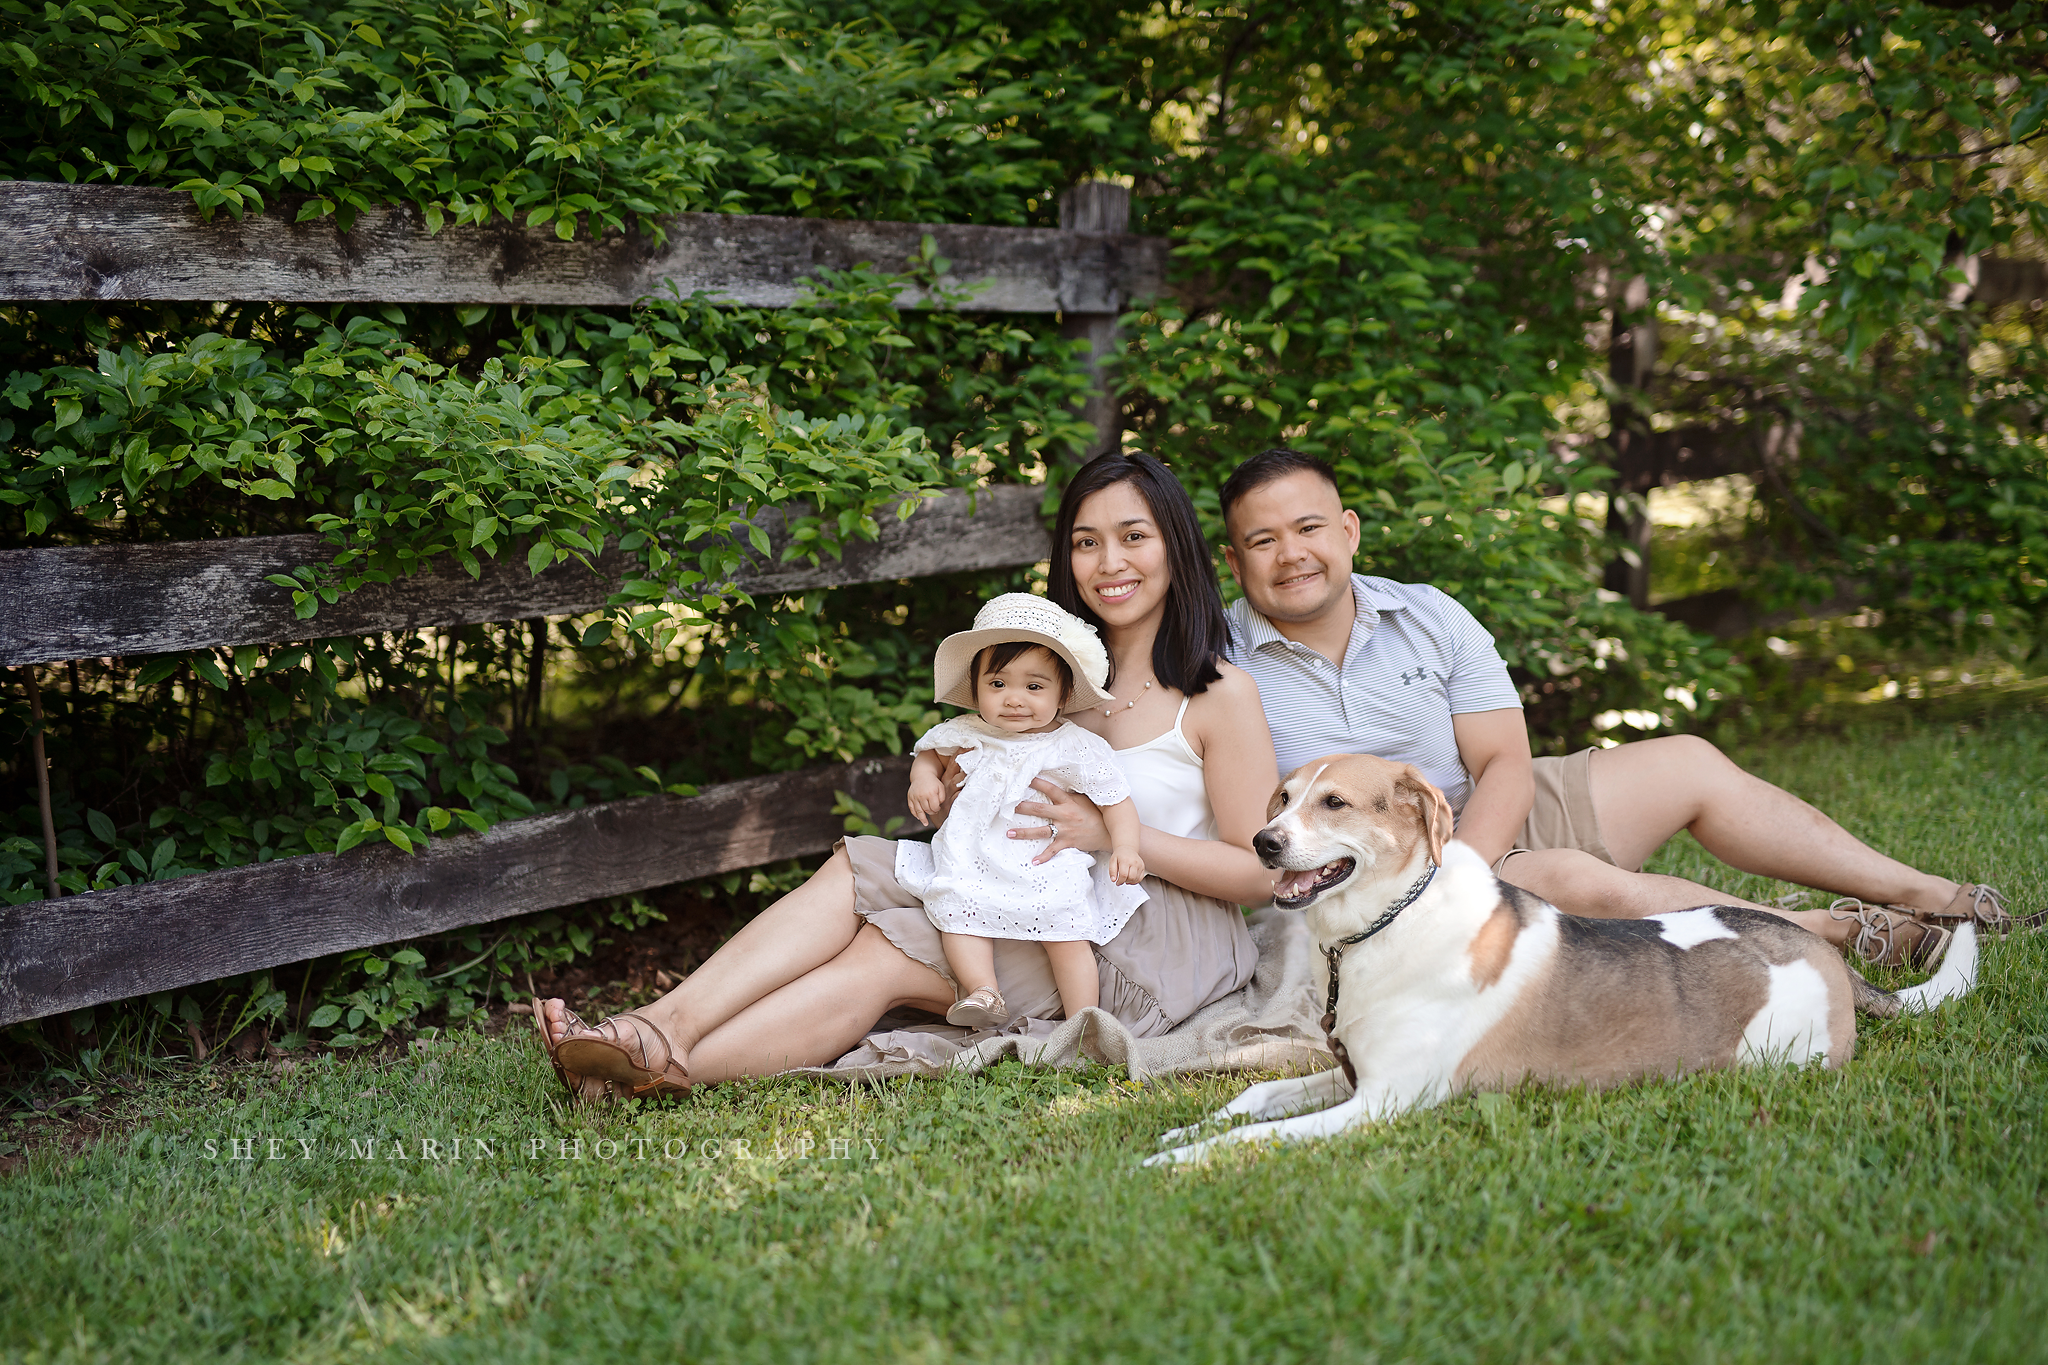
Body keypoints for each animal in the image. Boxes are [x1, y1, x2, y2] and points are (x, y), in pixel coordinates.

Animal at [1146, 757, 1974, 1162]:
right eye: (1282, 797)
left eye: (1335, 803)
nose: (1262, 841)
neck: (1387, 922)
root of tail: (1822, 953)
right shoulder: (1353, 1076)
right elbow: (1255, 1098)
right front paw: (1182, 1133)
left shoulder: (1386, 1101)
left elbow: (1254, 1138)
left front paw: (1179, 1163)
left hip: (1776, 1057)